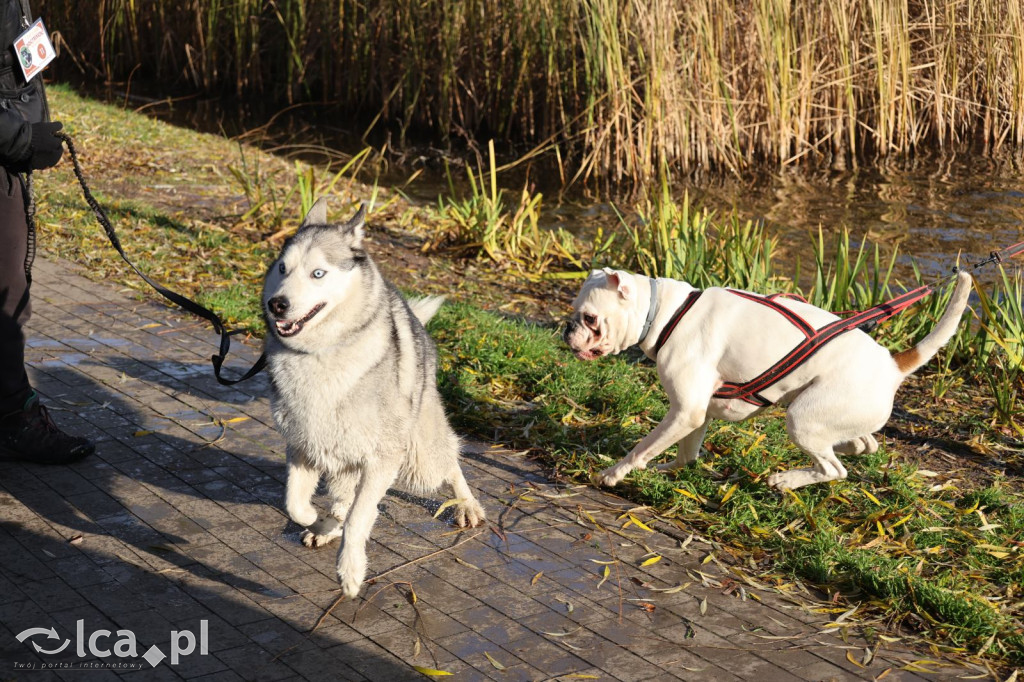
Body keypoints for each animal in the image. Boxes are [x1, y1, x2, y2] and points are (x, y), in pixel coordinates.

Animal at [264, 196, 487, 593]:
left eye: (317, 274)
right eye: (283, 268)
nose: (278, 304)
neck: (319, 355)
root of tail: (414, 320)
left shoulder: (383, 457)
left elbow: (359, 517)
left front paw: (351, 570)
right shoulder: (303, 445)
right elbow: (297, 505)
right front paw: (322, 522)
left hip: (419, 458)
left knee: (450, 462)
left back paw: (466, 504)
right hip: (344, 458)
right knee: (342, 495)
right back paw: (329, 526)